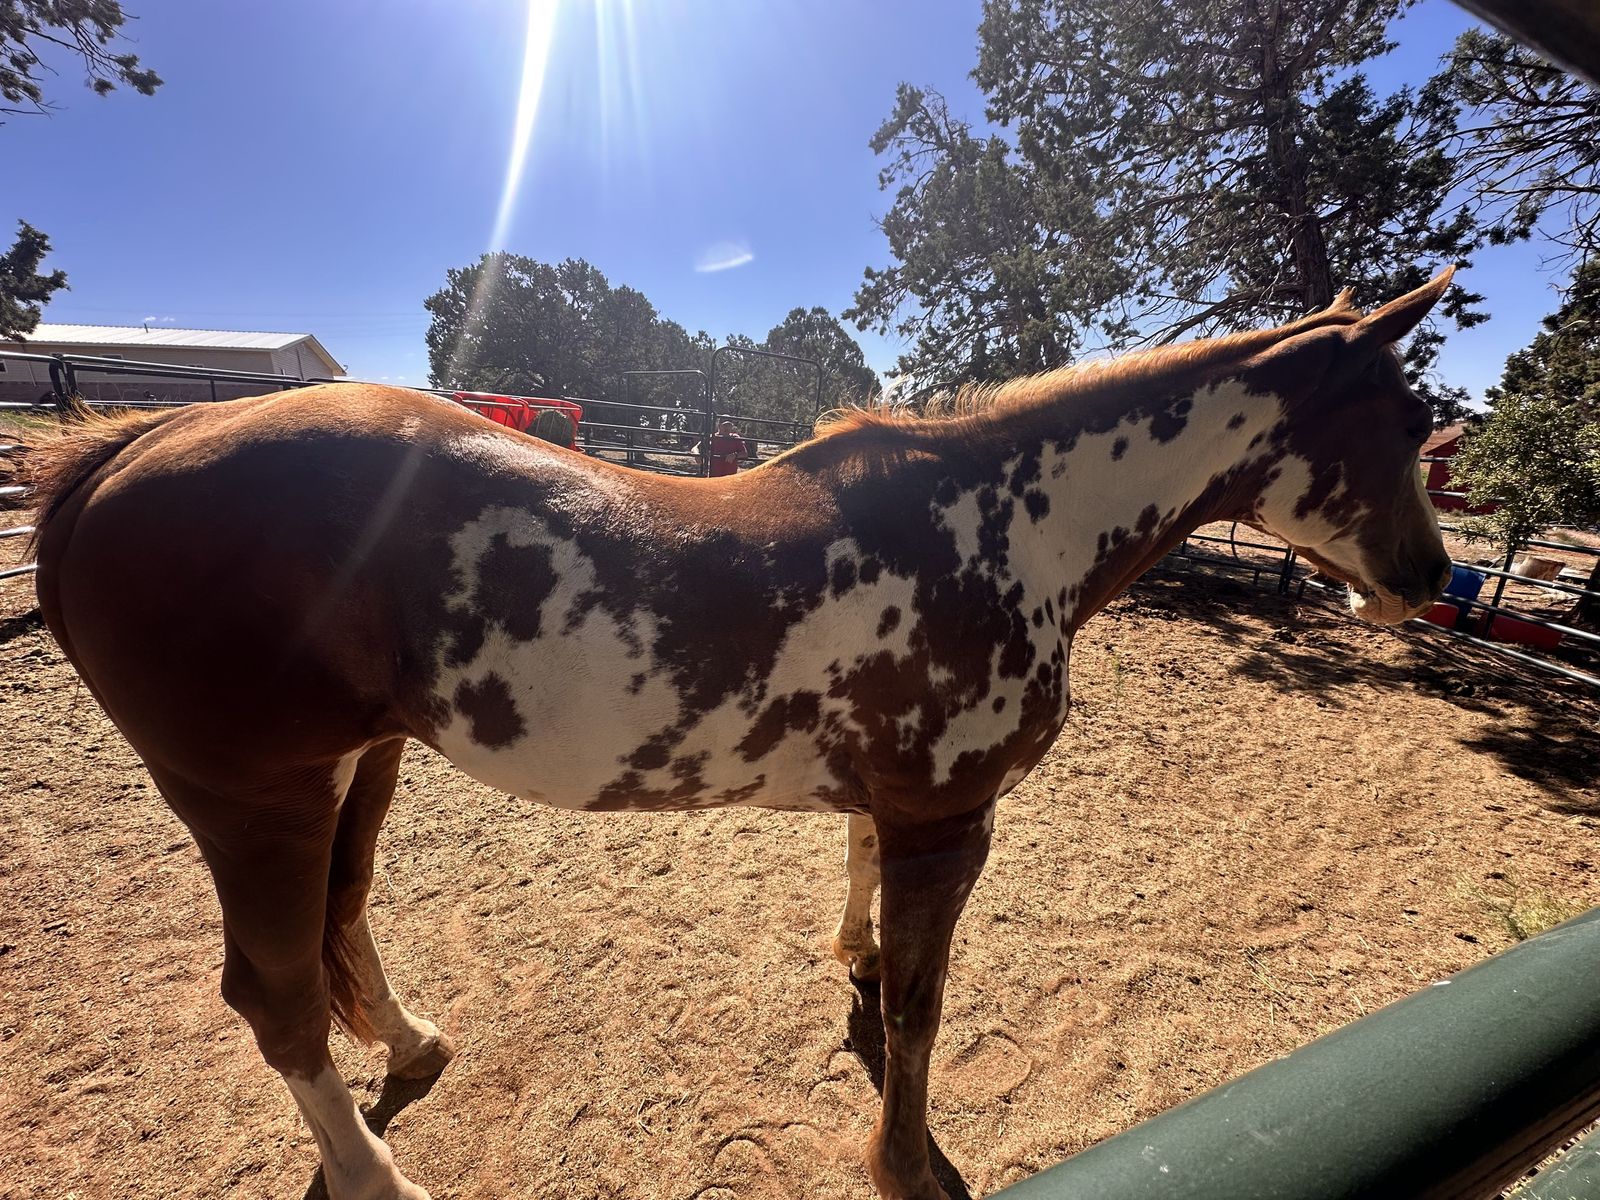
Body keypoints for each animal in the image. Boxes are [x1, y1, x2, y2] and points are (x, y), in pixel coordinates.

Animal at [26, 271, 1455, 1200]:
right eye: (1406, 422)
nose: (1429, 578)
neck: (1006, 524)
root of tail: (127, 451)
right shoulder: (949, 820)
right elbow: (925, 1010)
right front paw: (901, 1163)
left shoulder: (898, 810)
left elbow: (869, 913)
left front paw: (854, 962)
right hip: (248, 796)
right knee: (273, 998)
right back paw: (378, 1179)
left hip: (352, 769)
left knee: (345, 919)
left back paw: (414, 1042)